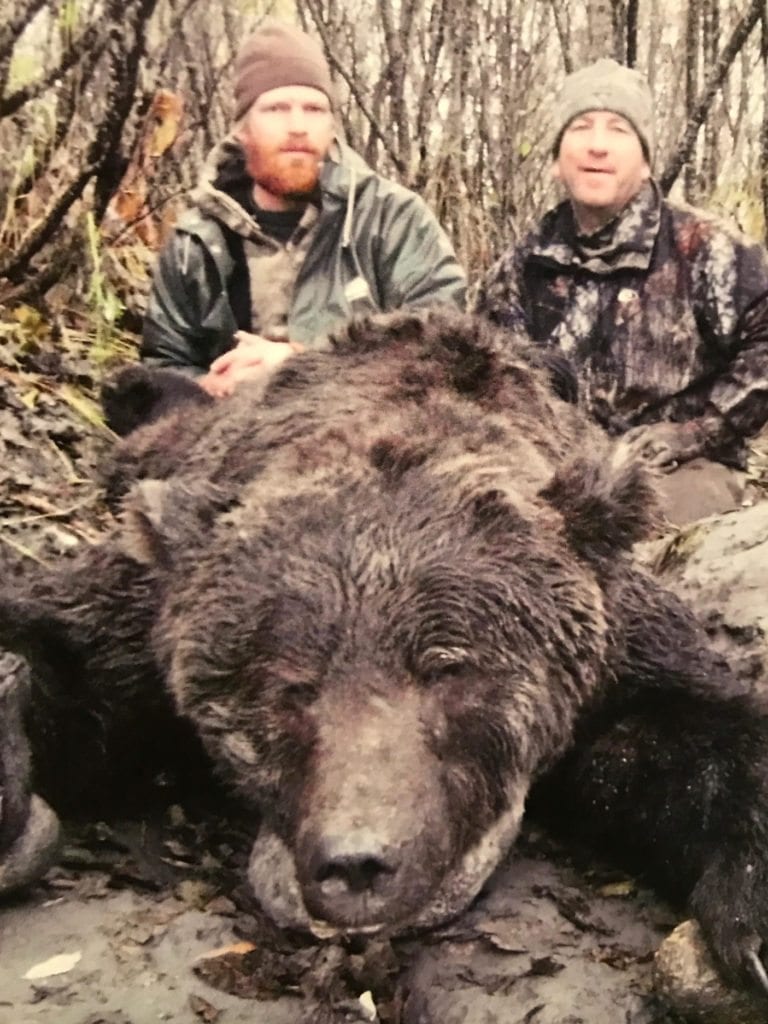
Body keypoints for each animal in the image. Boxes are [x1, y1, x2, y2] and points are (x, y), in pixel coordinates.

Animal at [1, 309, 768, 1003]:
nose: (359, 865)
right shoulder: (146, 613)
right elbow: (61, 648)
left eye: (449, 669)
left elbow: (693, 725)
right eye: (289, 687)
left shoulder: (616, 635)